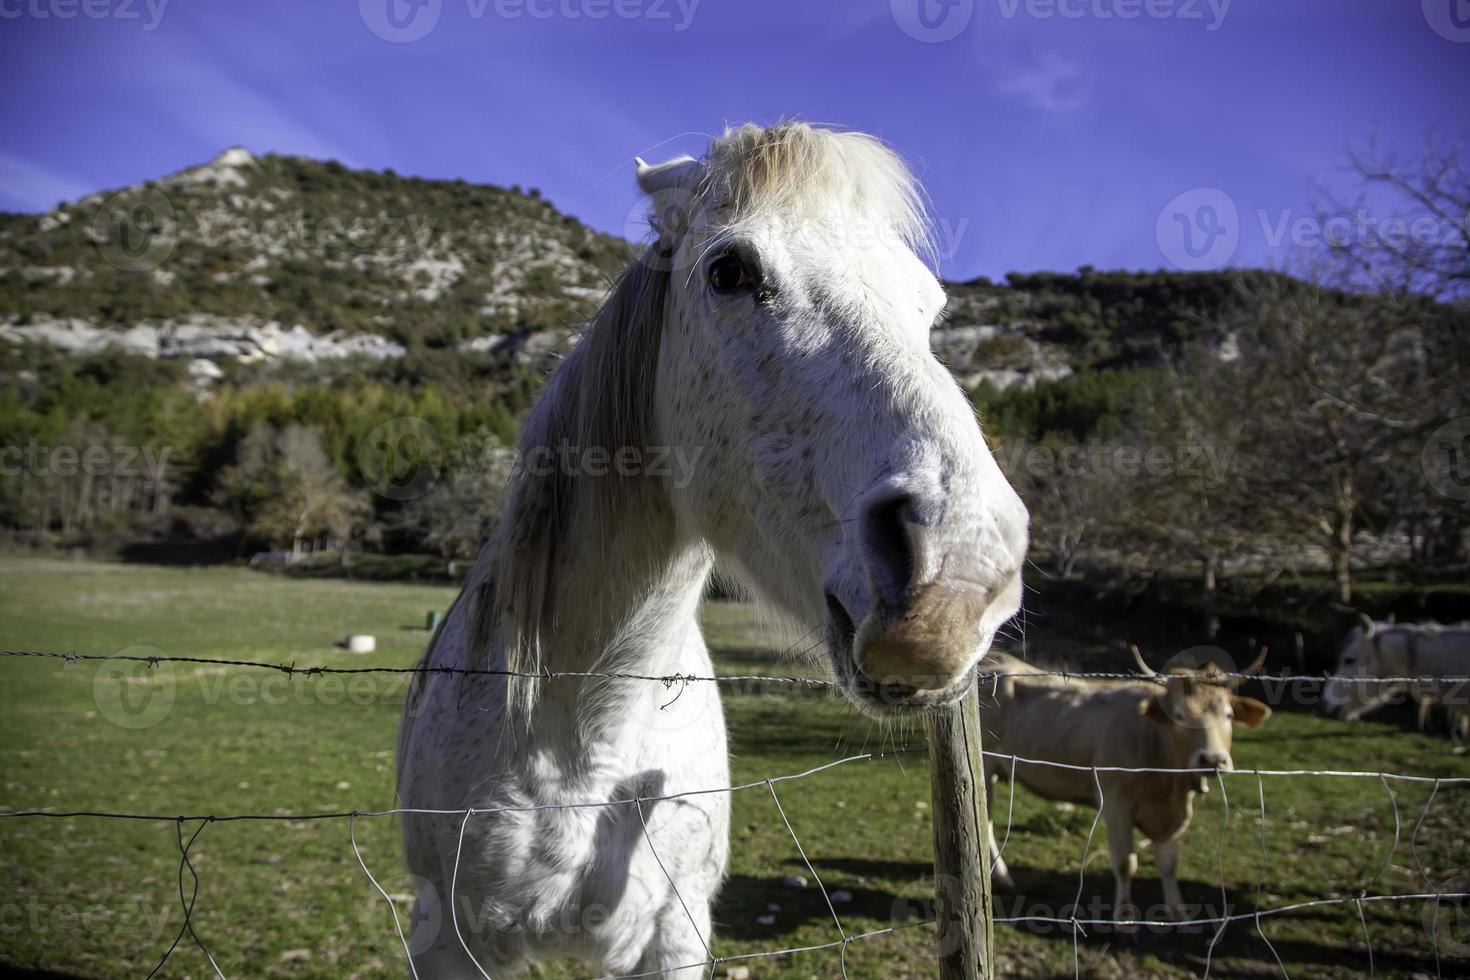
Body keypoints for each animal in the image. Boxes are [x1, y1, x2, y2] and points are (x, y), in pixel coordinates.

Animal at [396, 124, 1029, 980]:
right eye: (730, 271)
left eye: (928, 305)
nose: (962, 575)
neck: (586, 741)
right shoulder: (448, 939)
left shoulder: (674, 932)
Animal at [976, 646, 1275, 916]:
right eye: (1179, 716)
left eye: (1228, 715)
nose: (1212, 759)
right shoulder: (1116, 803)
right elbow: (1125, 863)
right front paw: (1124, 917)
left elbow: (1169, 863)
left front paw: (1177, 910)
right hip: (985, 770)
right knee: (986, 824)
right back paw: (1002, 876)